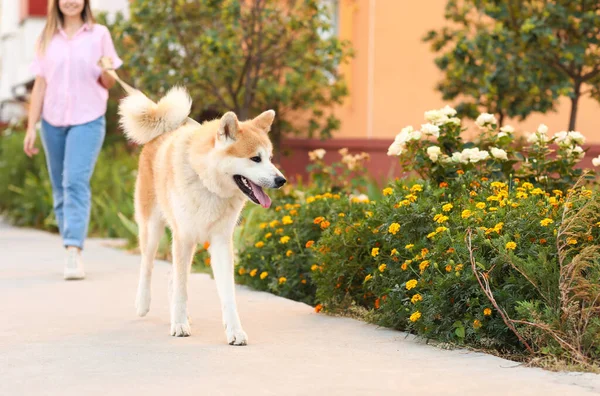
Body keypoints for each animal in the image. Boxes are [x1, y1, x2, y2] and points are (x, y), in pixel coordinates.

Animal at [119, 86, 286, 344]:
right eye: (255, 158)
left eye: (270, 158)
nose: (281, 180)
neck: (207, 183)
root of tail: (166, 128)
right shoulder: (183, 237)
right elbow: (181, 288)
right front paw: (179, 324)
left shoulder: (220, 242)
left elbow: (227, 293)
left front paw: (234, 330)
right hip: (153, 228)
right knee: (147, 265)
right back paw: (143, 303)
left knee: (172, 275)